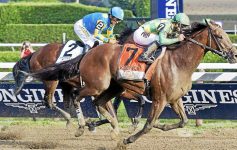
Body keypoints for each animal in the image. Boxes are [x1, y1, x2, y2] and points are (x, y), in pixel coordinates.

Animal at [62, 20, 237, 146]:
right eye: (219, 36)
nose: (234, 54)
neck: (178, 62)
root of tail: (89, 52)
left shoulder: (174, 99)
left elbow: (183, 121)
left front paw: (162, 126)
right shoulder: (160, 99)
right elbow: (149, 124)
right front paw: (128, 139)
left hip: (113, 88)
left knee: (99, 103)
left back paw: (112, 127)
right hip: (97, 85)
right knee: (76, 95)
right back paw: (81, 126)